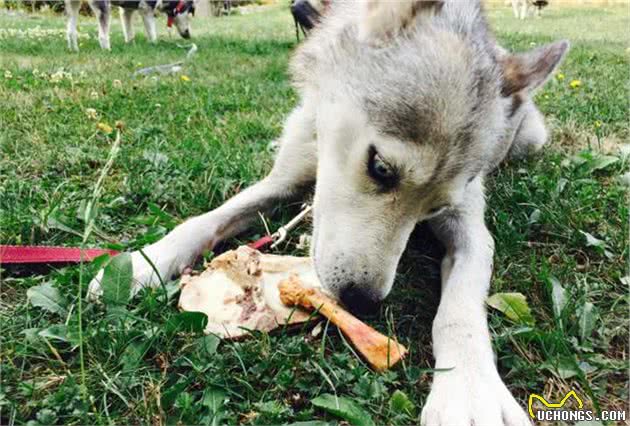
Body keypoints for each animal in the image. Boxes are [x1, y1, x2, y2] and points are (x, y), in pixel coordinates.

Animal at [89, 1, 568, 424]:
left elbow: (461, 310)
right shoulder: (281, 180)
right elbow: (206, 220)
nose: (361, 301)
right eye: (380, 167)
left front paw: (468, 388)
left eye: (436, 207)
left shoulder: (470, 232)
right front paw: (143, 263)